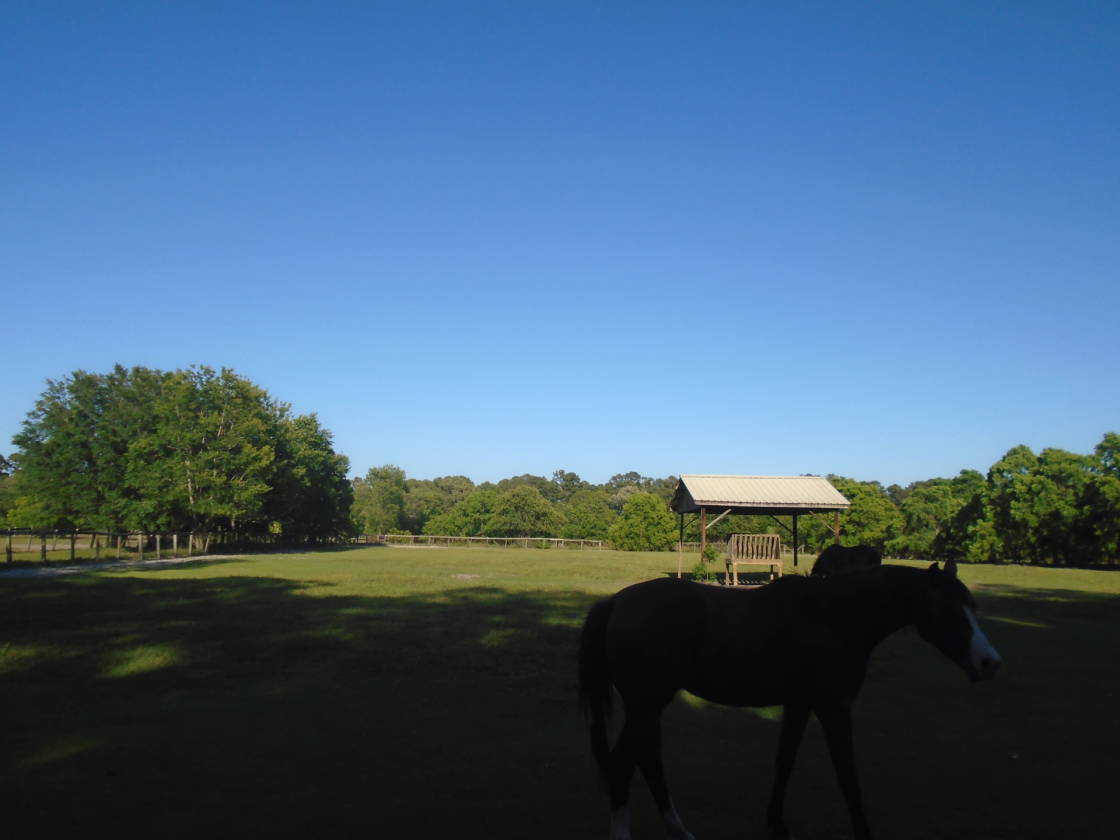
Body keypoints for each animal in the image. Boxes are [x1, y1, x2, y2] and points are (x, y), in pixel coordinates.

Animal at [578, 561, 1001, 840]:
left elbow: (785, 762)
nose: (990, 662)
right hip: (646, 705)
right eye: (945, 608)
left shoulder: (800, 704)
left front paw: (776, 822)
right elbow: (848, 775)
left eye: (973, 607)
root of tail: (615, 603)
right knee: (623, 763)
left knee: (646, 761)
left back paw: (680, 830)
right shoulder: (833, 706)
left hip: (647, 708)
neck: (834, 617)